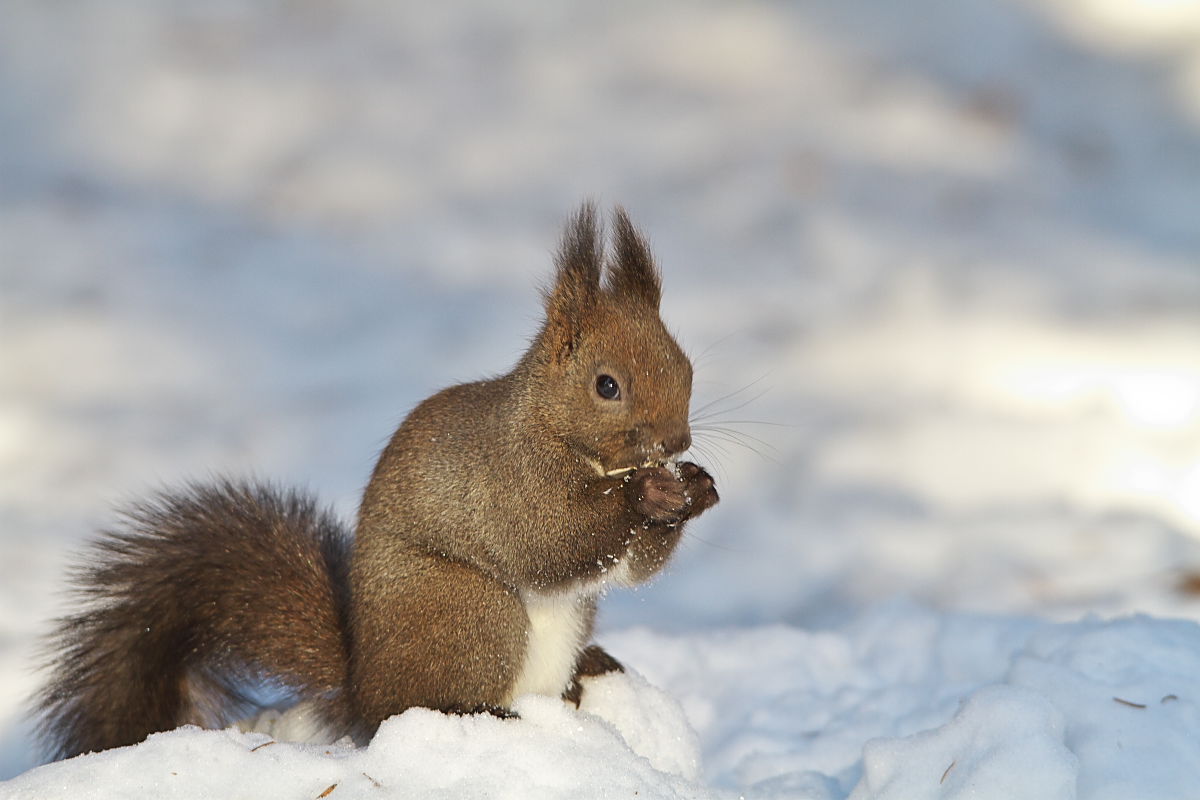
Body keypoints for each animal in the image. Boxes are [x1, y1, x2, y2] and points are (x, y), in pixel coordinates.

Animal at [32, 203, 715, 762]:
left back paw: (590, 674)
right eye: (607, 385)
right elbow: (549, 540)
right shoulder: (507, 481)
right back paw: (479, 712)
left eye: (686, 365)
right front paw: (652, 494)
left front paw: (695, 489)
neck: (566, 440)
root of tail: (362, 683)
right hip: (467, 609)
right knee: (417, 701)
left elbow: (633, 568)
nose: (676, 443)